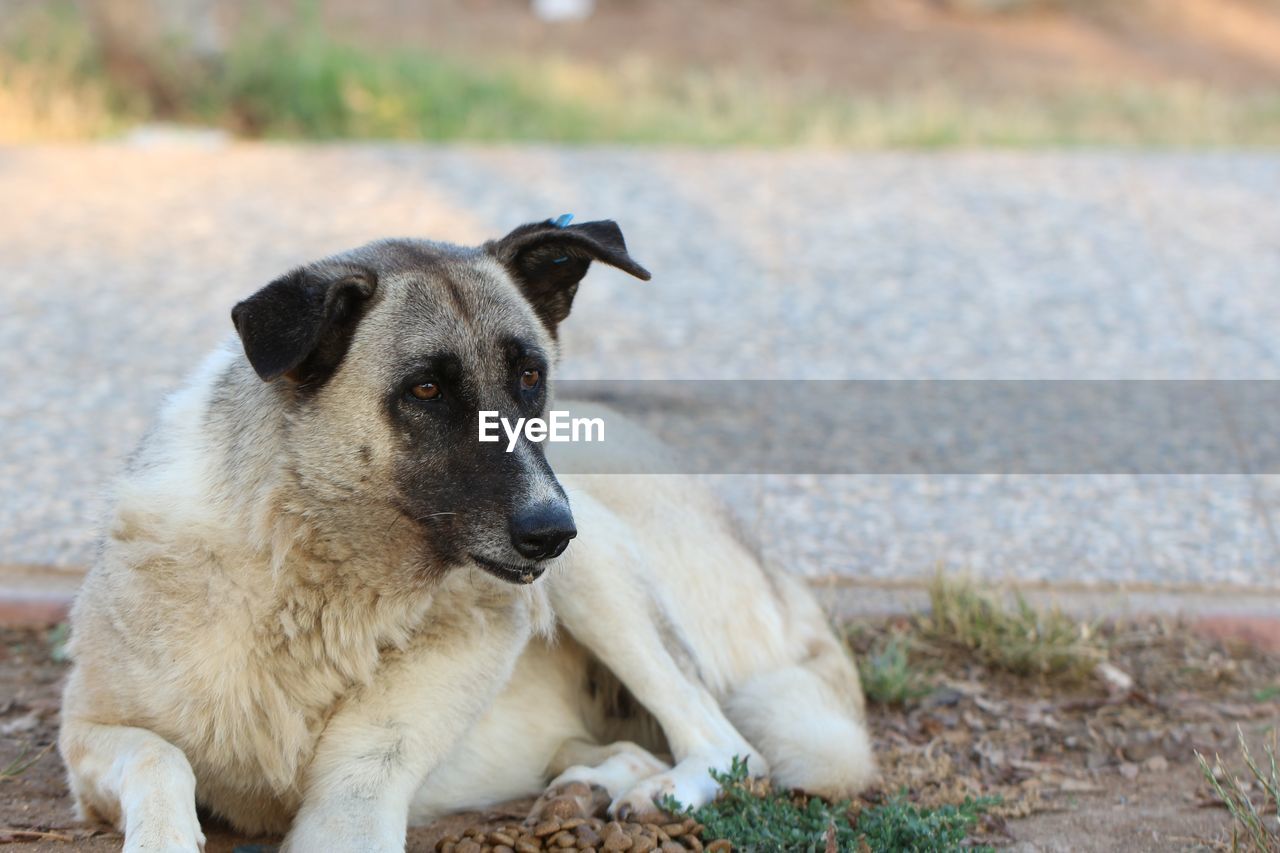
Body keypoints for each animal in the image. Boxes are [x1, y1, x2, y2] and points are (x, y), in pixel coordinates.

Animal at [62, 220, 880, 850]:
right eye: (426, 389)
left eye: (531, 376)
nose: (551, 533)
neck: (313, 579)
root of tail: (779, 575)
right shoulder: (87, 733)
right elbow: (160, 759)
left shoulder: (357, 795)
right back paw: (588, 785)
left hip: (599, 561)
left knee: (728, 745)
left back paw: (653, 792)